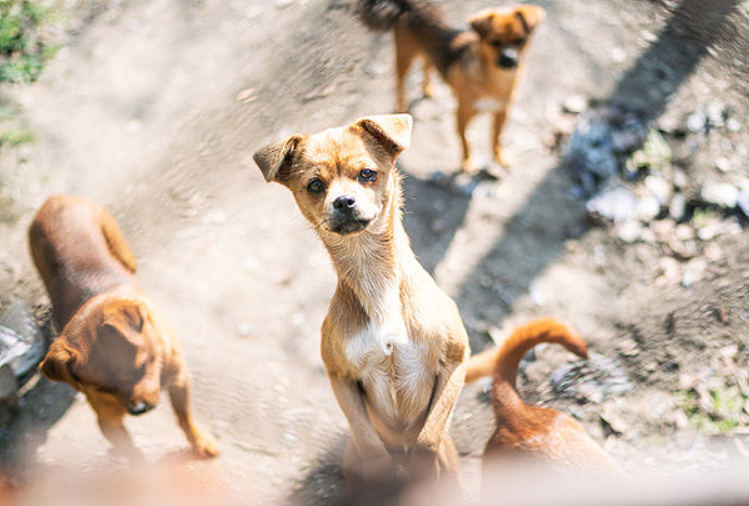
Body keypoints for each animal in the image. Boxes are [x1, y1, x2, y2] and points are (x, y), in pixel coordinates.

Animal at [30, 195, 222, 462]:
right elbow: (133, 454)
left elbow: (185, 418)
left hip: (124, 252)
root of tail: (54, 199)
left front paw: (200, 442)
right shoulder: (108, 420)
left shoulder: (180, 380)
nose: (139, 410)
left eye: (140, 367)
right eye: (102, 388)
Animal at [254, 113, 470, 490]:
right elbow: (370, 444)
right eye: (315, 185)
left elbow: (427, 438)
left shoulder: (457, 360)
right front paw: (385, 471)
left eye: (367, 173)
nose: (343, 201)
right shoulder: (340, 376)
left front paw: (421, 467)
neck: (373, 273)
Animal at [356, 0, 544, 172]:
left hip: (428, 54)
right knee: (400, 81)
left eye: (520, 40)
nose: (510, 59)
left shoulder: (502, 112)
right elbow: (466, 140)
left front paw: (499, 157)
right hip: (405, 58)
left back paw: (428, 89)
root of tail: (413, 5)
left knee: (426, 67)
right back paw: (402, 103)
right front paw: (467, 162)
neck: (495, 80)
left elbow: (496, 137)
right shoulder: (462, 114)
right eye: (494, 42)